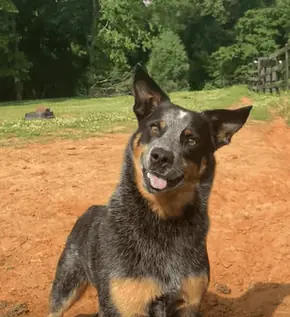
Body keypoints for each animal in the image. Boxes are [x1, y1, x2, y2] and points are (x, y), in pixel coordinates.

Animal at [47, 65, 251, 316]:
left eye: (191, 139)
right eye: (154, 127)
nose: (161, 156)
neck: (163, 219)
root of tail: (92, 209)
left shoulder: (190, 303)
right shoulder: (123, 305)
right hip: (66, 282)